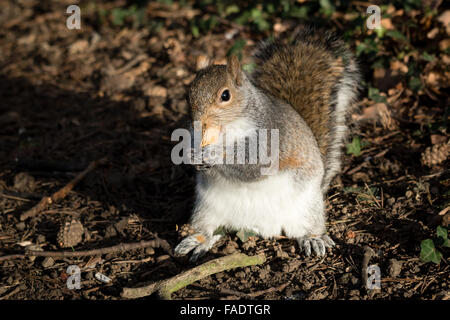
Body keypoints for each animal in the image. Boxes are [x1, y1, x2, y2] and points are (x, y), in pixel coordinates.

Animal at [174, 27, 360, 262]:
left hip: (306, 207)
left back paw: (312, 238)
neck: (226, 128)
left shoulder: (269, 140)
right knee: (209, 230)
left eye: (225, 95)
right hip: (206, 209)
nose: (199, 122)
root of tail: (261, 228)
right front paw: (190, 154)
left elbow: (254, 165)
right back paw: (197, 241)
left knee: (306, 227)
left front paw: (214, 154)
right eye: (188, 95)